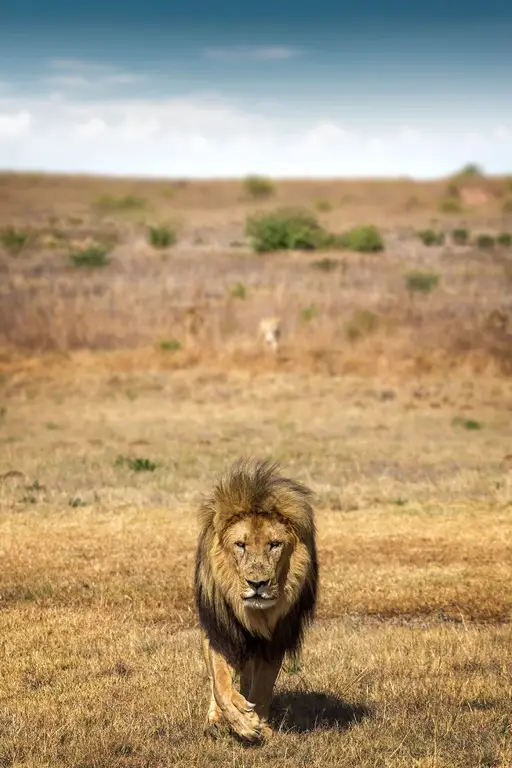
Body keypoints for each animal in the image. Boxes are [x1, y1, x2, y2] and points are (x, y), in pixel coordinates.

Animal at [194, 460, 318, 740]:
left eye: (275, 544)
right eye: (240, 545)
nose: (257, 584)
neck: (256, 615)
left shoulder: (276, 639)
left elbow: (262, 686)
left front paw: (258, 722)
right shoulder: (221, 630)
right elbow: (220, 682)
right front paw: (242, 722)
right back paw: (216, 719)